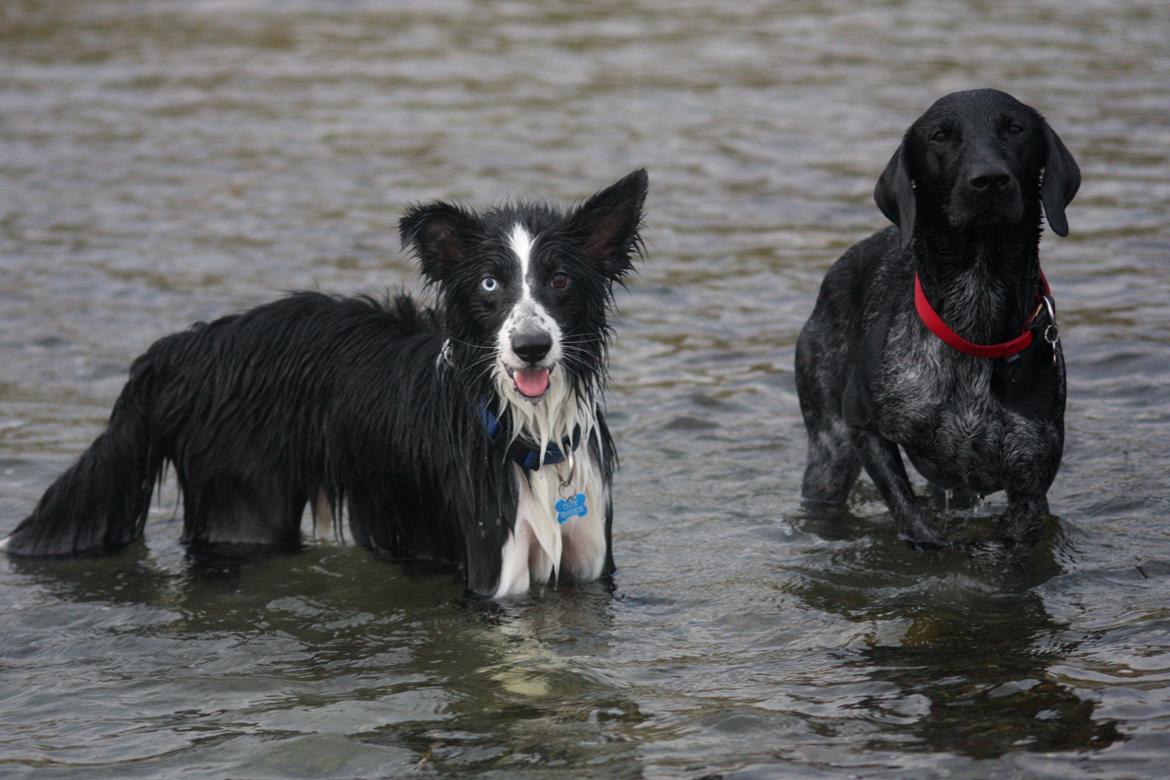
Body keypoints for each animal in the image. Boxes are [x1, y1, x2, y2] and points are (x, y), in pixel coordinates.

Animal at [2, 169, 650, 598]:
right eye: (491, 285)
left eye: (560, 279)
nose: (530, 346)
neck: (530, 434)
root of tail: (185, 346)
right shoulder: (493, 574)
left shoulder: (590, 571)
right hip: (244, 507)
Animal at [795, 88, 1076, 547]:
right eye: (940, 136)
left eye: (1015, 129)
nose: (990, 179)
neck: (975, 320)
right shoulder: (861, 424)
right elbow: (910, 515)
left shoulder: (1030, 484)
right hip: (828, 451)